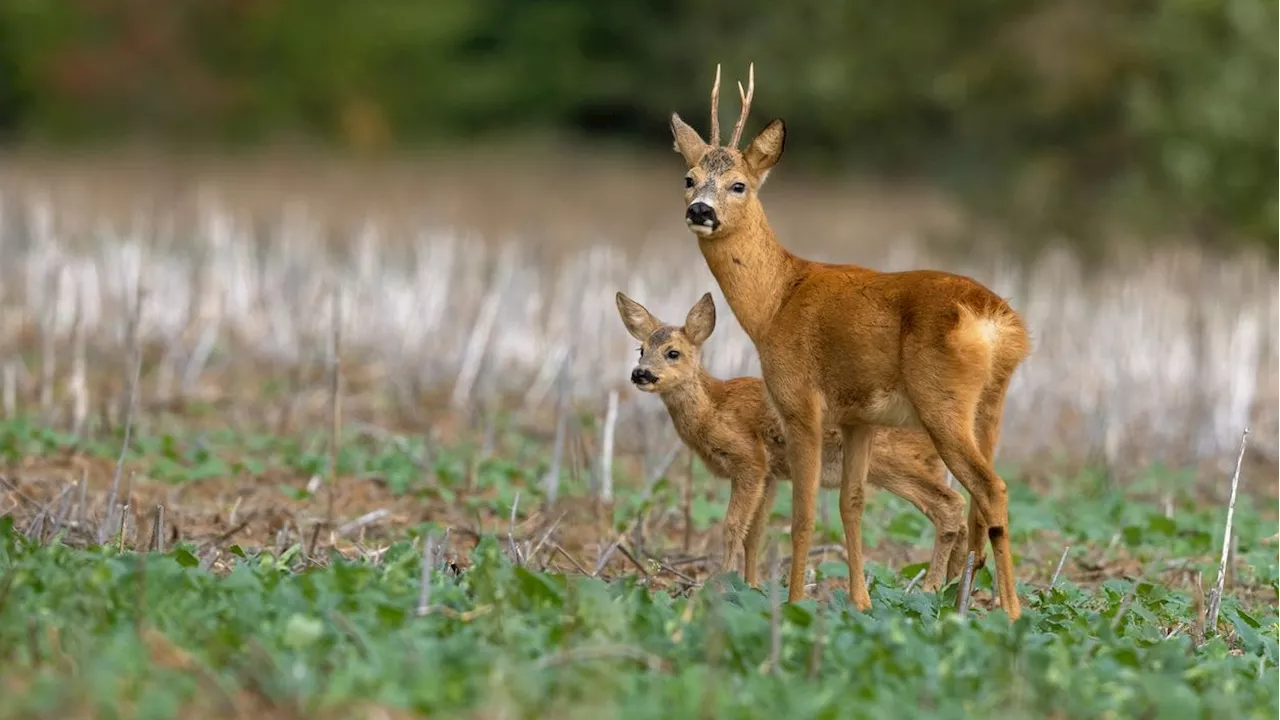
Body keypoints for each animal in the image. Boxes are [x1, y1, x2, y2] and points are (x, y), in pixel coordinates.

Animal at [614, 289, 962, 589]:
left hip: (895, 462)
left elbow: (732, 527)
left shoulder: (749, 459)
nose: (640, 373)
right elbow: (755, 533)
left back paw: (931, 589)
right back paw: (954, 589)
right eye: (641, 350)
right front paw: (750, 585)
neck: (713, 408)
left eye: (673, 353)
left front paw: (717, 583)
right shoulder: (770, 474)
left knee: (950, 506)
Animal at [670, 63, 1029, 617]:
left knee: (990, 489)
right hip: (990, 405)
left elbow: (802, 515)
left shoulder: (800, 403)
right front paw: (860, 603)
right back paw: (963, 604)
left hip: (942, 401)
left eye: (739, 185)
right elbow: (851, 503)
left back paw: (1009, 611)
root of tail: (997, 320)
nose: (701, 211)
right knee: (977, 500)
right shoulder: (860, 418)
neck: (775, 302)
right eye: (688, 178)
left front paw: (796, 603)